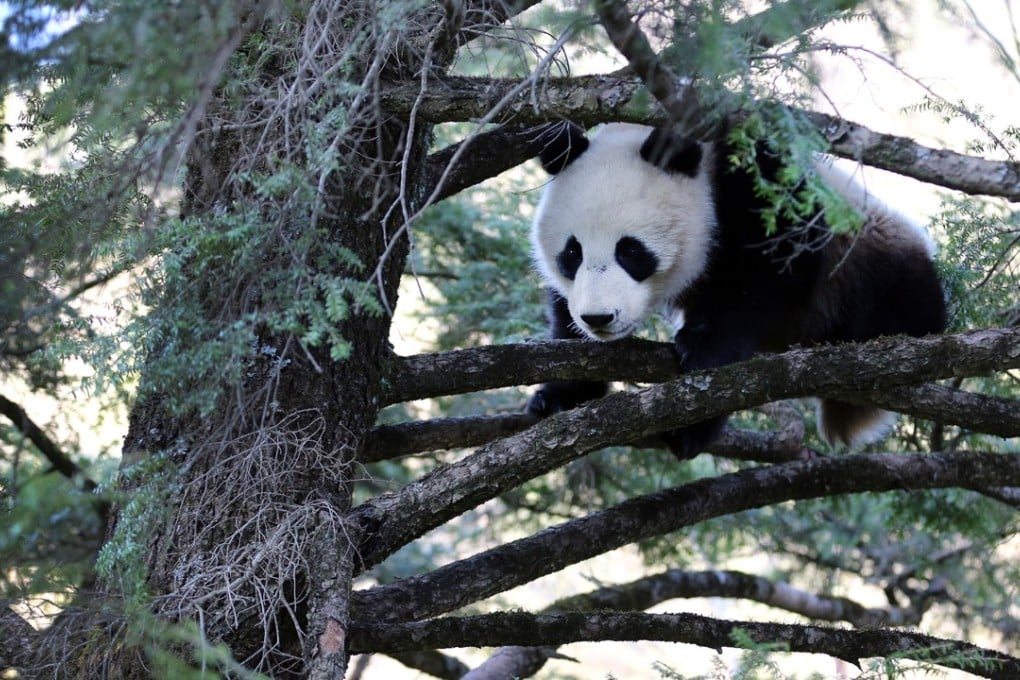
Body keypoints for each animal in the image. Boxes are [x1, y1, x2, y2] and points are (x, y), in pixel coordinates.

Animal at [526, 121, 947, 458]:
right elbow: (566, 324)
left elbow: (778, 264)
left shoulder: (757, 178)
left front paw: (705, 346)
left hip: (867, 252)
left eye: (630, 250)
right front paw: (559, 398)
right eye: (572, 253)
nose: (599, 318)